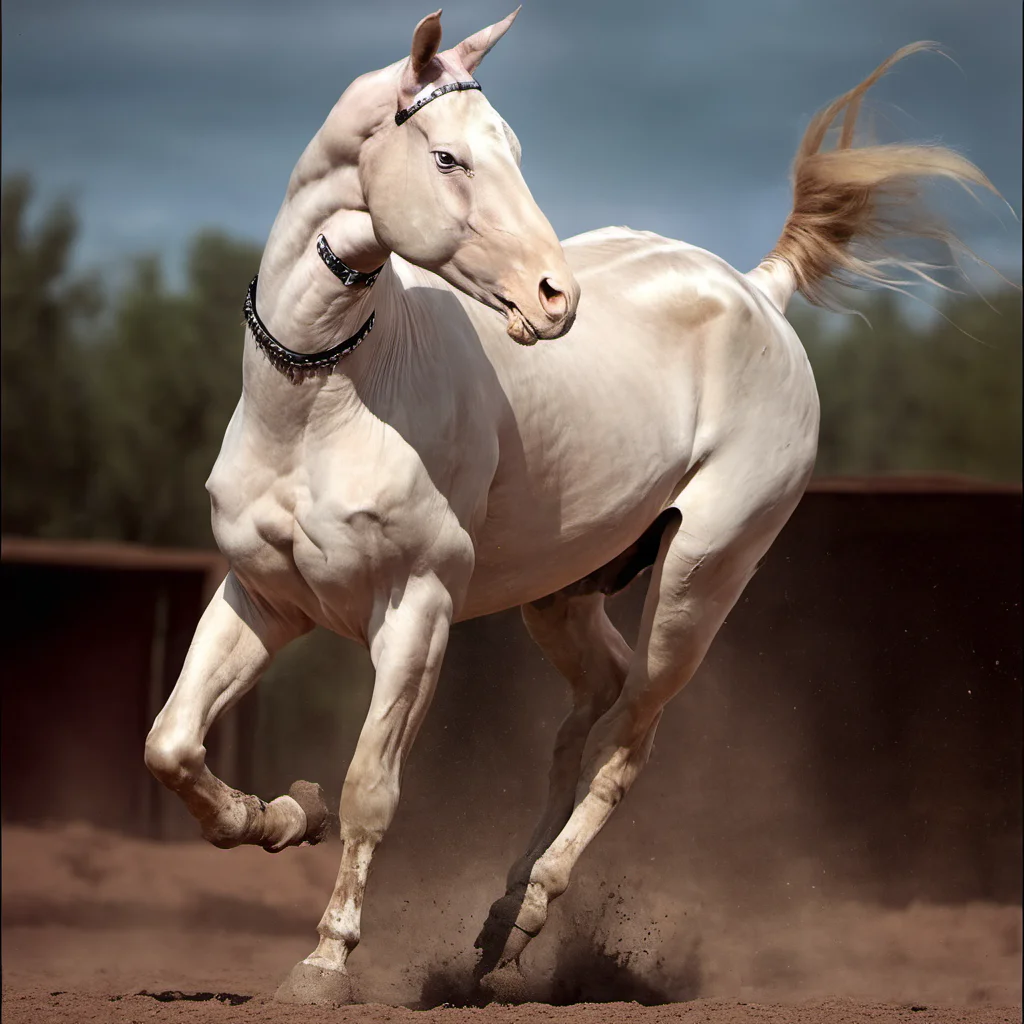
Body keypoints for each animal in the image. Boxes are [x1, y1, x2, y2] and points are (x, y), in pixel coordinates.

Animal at [144, 9, 998, 1005]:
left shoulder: (417, 611)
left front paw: (323, 962)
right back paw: (500, 913)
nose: (556, 298)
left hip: (701, 581)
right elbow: (173, 746)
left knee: (629, 741)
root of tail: (759, 291)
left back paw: (525, 916)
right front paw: (283, 813)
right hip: (562, 596)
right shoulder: (263, 599)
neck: (327, 397)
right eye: (448, 157)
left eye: (512, 150)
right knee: (590, 707)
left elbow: (371, 789)